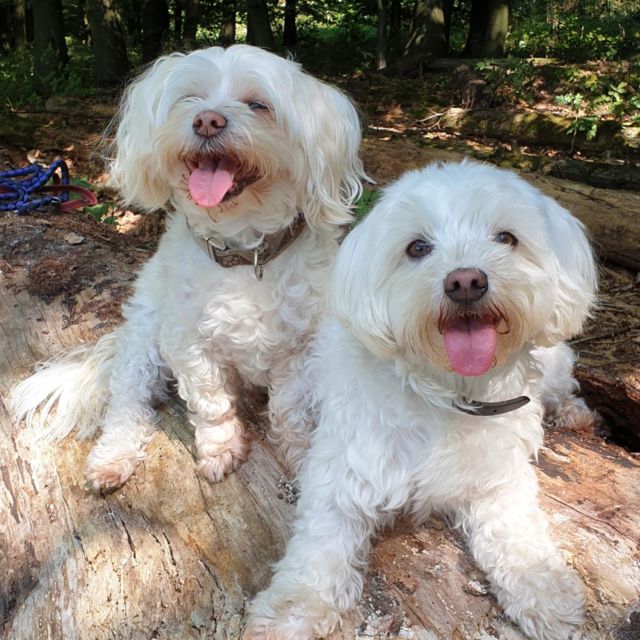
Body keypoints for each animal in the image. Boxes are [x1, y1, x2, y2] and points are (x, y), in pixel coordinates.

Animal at [12, 44, 365, 491]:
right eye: (190, 99)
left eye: (258, 105)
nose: (207, 120)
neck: (243, 254)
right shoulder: (190, 344)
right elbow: (211, 402)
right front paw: (221, 449)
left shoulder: (305, 348)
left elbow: (291, 409)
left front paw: (300, 455)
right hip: (143, 339)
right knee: (127, 402)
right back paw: (113, 456)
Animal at [245, 161, 598, 640]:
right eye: (417, 248)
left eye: (506, 238)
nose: (465, 281)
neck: (448, 392)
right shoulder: (345, 473)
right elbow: (318, 547)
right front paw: (291, 611)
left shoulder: (500, 477)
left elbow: (518, 532)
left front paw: (544, 588)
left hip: (554, 362)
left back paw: (575, 413)